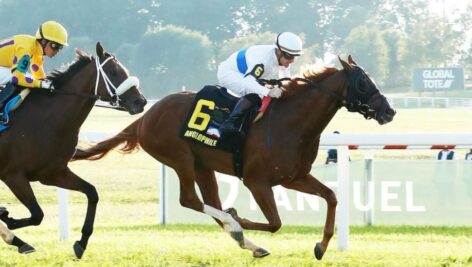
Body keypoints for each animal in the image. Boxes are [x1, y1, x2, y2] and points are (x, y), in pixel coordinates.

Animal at [0, 43, 147, 258]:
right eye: (113, 71)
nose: (140, 101)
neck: (47, 121)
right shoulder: (13, 175)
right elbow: (37, 214)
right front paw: (7, 218)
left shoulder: (53, 173)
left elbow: (92, 193)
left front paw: (81, 242)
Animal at [74, 55, 396, 262]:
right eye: (363, 83)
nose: (389, 111)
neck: (291, 123)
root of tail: (146, 115)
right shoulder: (257, 181)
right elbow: (275, 222)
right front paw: (239, 217)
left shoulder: (294, 177)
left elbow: (331, 196)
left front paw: (322, 245)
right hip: (180, 158)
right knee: (190, 200)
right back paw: (237, 227)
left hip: (202, 166)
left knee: (209, 202)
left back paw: (245, 239)